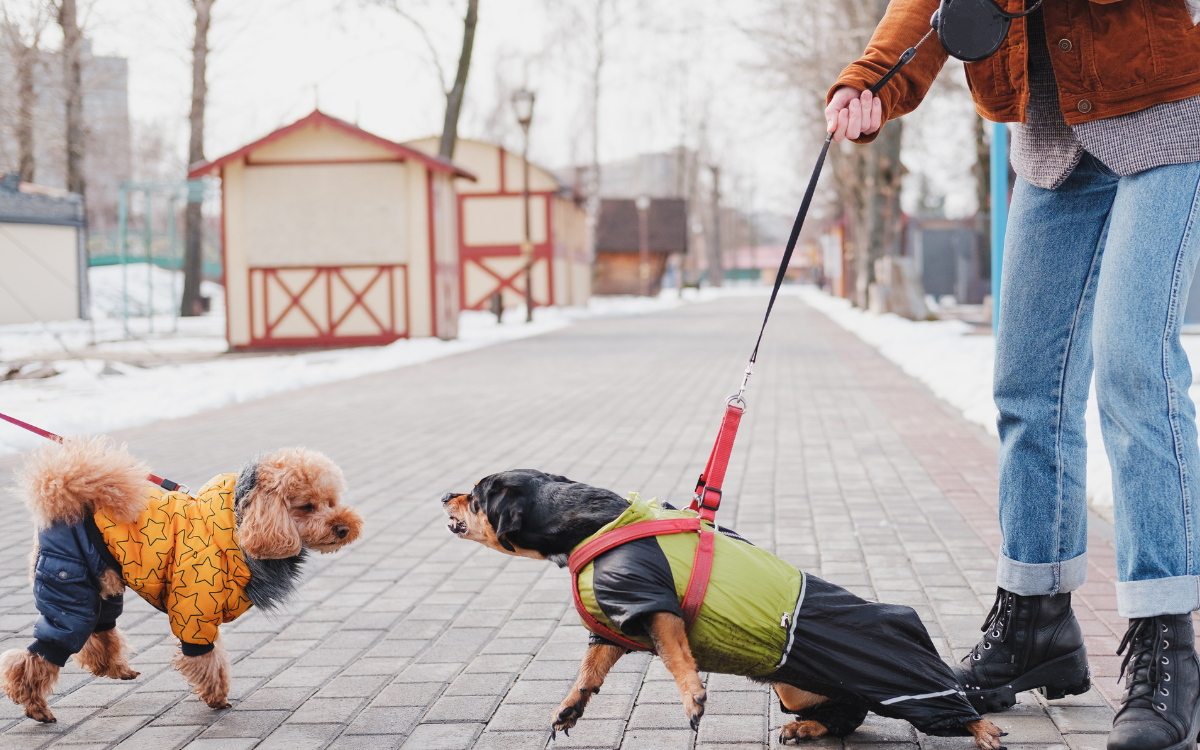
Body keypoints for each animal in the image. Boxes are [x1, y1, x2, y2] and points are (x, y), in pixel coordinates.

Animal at [446, 470, 1008, 744]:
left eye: (474, 496)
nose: (443, 496)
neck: (589, 524)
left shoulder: (653, 604)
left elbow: (677, 657)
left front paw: (693, 698)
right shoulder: (613, 624)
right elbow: (588, 671)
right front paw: (569, 708)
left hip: (906, 683)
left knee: (949, 708)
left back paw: (984, 731)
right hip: (796, 687)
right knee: (847, 716)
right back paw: (806, 728)